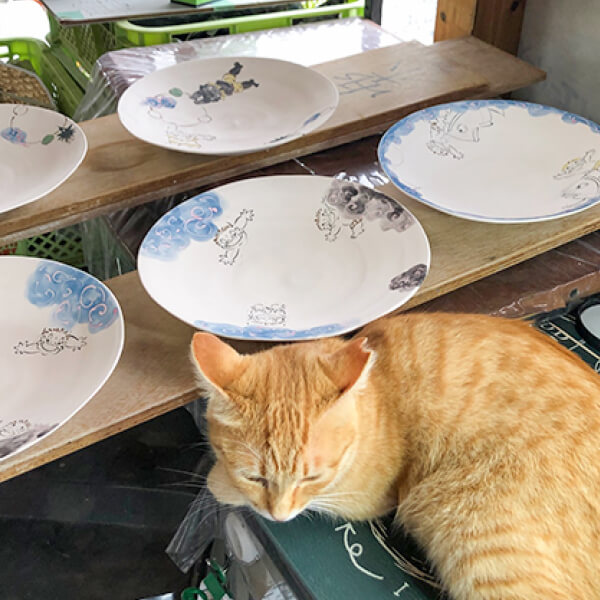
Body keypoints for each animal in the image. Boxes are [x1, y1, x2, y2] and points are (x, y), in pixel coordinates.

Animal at [190, 313, 600, 600]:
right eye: (255, 476)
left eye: (311, 477)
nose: (277, 515)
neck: (379, 394)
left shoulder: (365, 498)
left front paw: (215, 481)